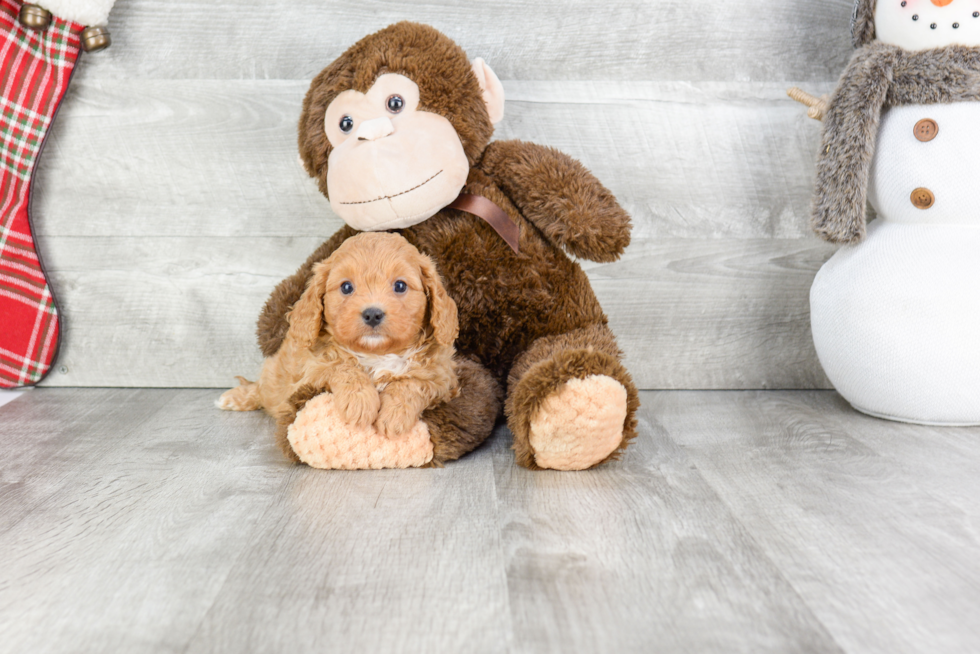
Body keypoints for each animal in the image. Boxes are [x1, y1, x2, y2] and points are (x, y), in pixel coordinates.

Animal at [218, 232, 460, 446]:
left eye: (400, 285)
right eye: (346, 287)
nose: (373, 314)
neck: (377, 354)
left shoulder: (443, 379)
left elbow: (412, 383)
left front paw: (395, 414)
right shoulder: (310, 371)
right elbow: (342, 367)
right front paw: (359, 402)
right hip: (274, 378)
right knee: (261, 390)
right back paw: (234, 397)